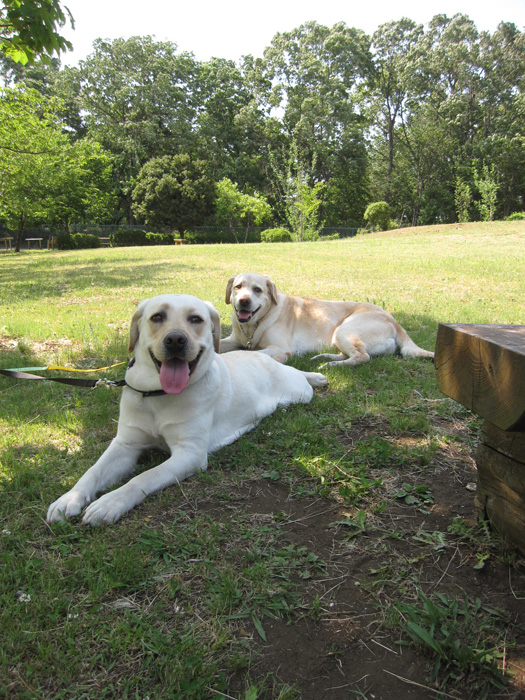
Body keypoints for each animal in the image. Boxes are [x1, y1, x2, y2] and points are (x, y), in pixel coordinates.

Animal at [218, 274, 434, 370]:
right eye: (238, 287)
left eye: (257, 290)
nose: (243, 301)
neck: (252, 326)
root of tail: (393, 319)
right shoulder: (233, 339)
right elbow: (222, 344)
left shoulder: (277, 347)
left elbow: (247, 353)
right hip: (340, 337)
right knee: (350, 354)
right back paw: (323, 357)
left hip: (344, 330)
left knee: (362, 357)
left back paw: (330, 366)